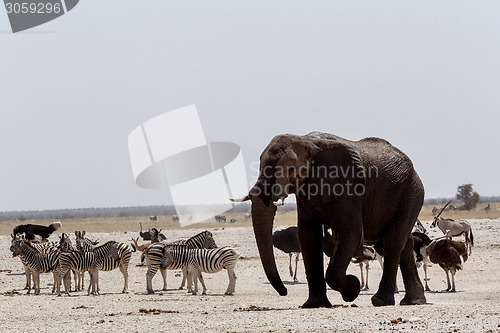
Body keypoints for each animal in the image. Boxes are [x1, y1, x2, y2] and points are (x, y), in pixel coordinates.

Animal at [233, 131, 426, 308]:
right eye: (259, 165)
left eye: (291, 169)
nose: (284, 292)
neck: (308, 143)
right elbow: (307, 237)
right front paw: (314, 304)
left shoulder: (348, 188)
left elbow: (351, 233)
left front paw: (353, 287)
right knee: (404, 243)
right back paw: (413, 301)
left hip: (412, 193)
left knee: (392, 242)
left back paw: (381, 301)